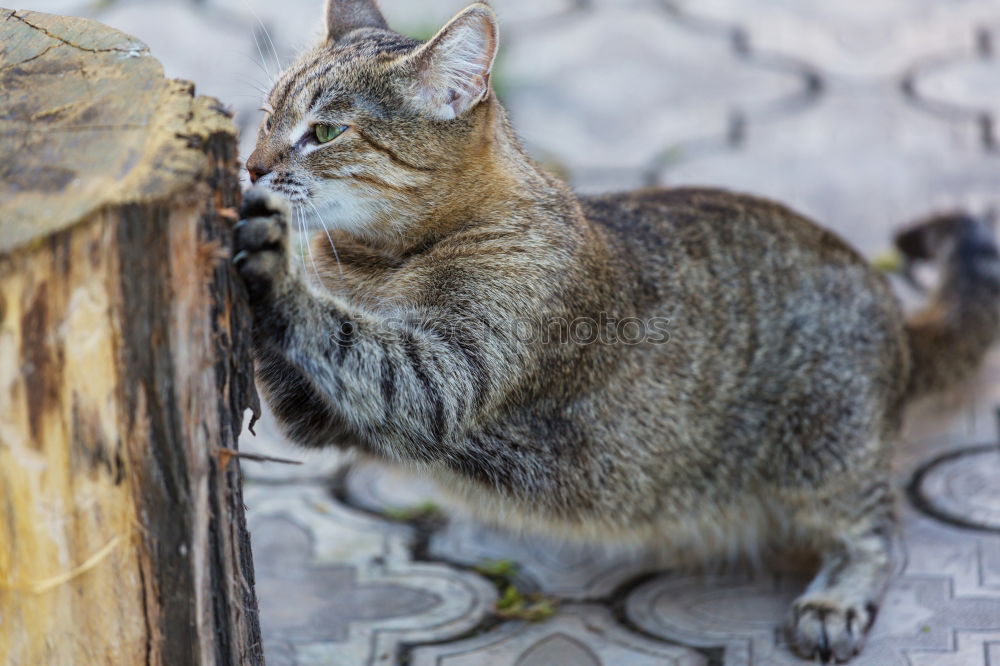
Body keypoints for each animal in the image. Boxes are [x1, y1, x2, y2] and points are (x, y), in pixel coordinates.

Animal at [234, 0, 1000, 656]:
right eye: (268, 115)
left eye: (325, 132)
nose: (251, 166)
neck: (377, 263)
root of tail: (898, 321)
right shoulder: (321, 415)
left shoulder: (437, 381)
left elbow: (345, 334)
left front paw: (273, 264)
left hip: (824, 453)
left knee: (879, 531)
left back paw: (836, 599)